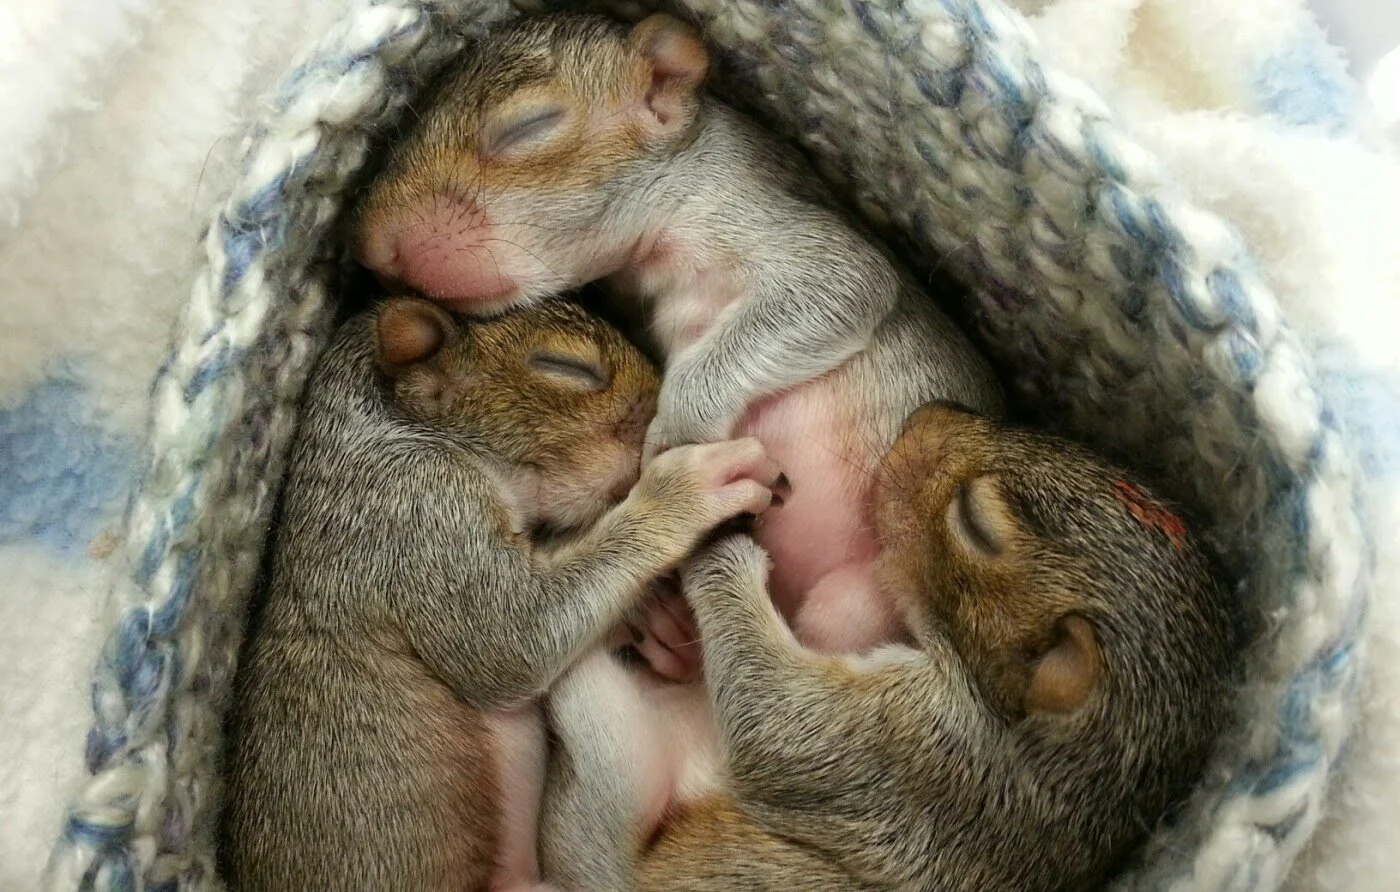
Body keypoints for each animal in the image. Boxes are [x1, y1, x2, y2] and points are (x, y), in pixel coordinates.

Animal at [219, 296, 783, 892]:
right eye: (566, 367)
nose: (655, 403)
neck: (394, 431)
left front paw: (659, 620)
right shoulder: (415, 518)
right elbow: (510, 639)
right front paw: (687, 488)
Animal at [353, 11, 1004, 661]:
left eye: (527, 127)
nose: (371, 249)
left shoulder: (752, 214)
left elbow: (843, 285)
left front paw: (673, 437)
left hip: (850, 602)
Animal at [539, 402, 1241, 892]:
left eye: (977, 523)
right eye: (1070, 446)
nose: (928, 413)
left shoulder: (920, 758)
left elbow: (777, 719)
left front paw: (725, 543)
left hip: (617, 772)